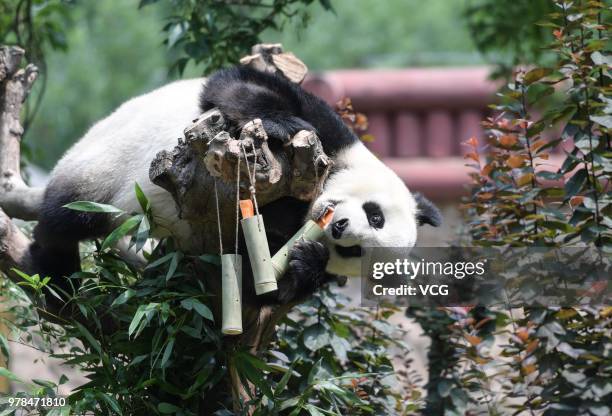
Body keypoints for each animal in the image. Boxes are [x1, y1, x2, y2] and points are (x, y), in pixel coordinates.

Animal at [29, 66, 440, 306]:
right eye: (376, 215)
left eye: (354, 251)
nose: (340, 227)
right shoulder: (332, 135)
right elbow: (234, 88)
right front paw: (282, 123)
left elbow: (260, 288)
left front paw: (308, 262)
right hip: (101, 167)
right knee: (66, 216)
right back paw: (55, 275)